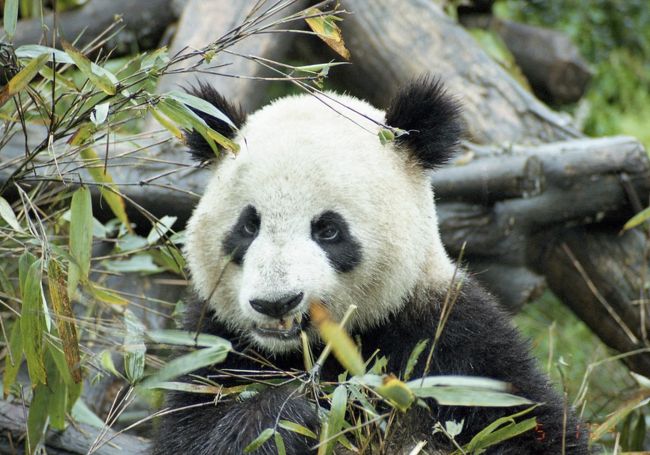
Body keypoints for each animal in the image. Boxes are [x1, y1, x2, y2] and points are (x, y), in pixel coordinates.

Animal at [151, 76, 588, 454]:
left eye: (328, 229)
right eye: (248, 225)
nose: (277, 303)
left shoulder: (453, 343)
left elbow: (527, 425)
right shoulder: (215, 346)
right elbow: (191, 434)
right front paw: (289, 415)